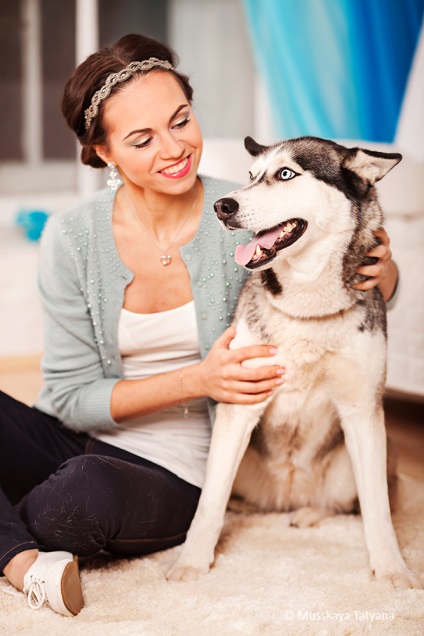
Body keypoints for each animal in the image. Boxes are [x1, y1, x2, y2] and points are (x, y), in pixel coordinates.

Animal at [166, 137, 420, 588]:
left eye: (286, 174)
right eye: (251, 176)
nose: (222, 206)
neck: (309, 310)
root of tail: (284, 497)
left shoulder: (362, 411)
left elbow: (377, 508)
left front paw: (391, 567)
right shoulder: (240, 406)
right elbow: (210, 502)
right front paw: (192, 562)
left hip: (367, 454)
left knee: (347, 503)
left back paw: (307, 513)